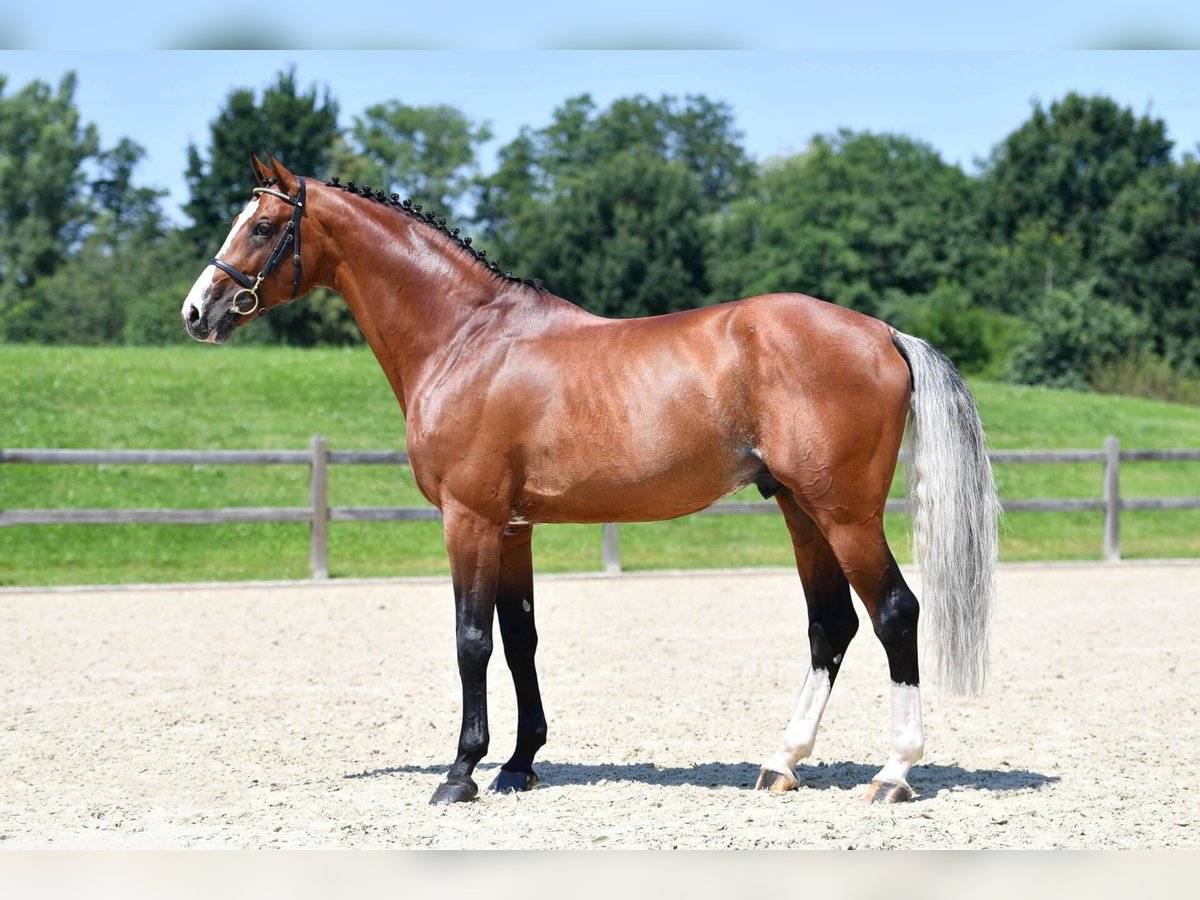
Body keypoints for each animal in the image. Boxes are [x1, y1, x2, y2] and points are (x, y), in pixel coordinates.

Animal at [180, 151, 1003, 806]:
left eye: (262, 227)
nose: (197, 311)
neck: (468, 337)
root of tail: (883, 333)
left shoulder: (470, 517)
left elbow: (471, 639)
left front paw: (461, 772)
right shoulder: (513, 527)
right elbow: (520, 639)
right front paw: (518, 765)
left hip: (845, 515)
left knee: (895, 612)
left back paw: (894, 774)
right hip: (801, 511)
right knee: (830, 625)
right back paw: (781, 764)